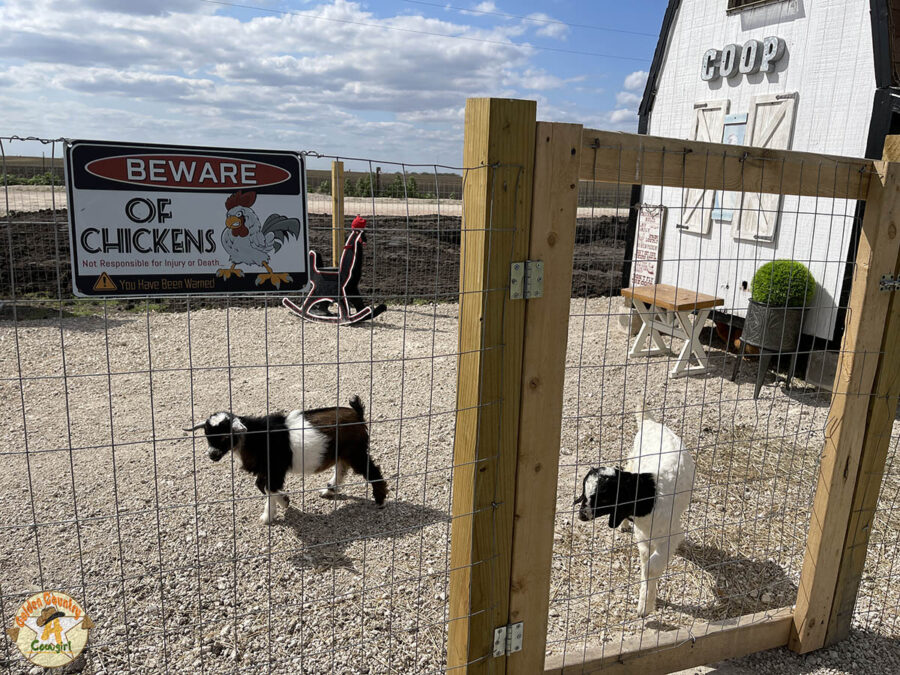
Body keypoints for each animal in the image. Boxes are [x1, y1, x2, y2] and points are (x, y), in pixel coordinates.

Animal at [186, 394, 386, 524]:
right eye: (207, 435)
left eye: (225, 437)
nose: (212, 455)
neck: (255, 436)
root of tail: (357, 414)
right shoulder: (266, 469)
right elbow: (262, 486)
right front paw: (278, 506)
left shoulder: (275, 469)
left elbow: (268, 488)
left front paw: (275, 510)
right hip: (343, 452)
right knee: (341, 469)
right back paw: (329, 490)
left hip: (356, 452)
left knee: (371, 470)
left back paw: (380, 500)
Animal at [572, 412, 692, 616]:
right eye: (584, 491)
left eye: (604, 498)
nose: (582, 515)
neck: (649, 497)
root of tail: (649, 422)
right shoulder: (643, 537)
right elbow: (645, 565)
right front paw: (645, 603)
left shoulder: (671, 535)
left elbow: (651, 567)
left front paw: (645, 606)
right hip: (633, 459)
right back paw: (624, 525)